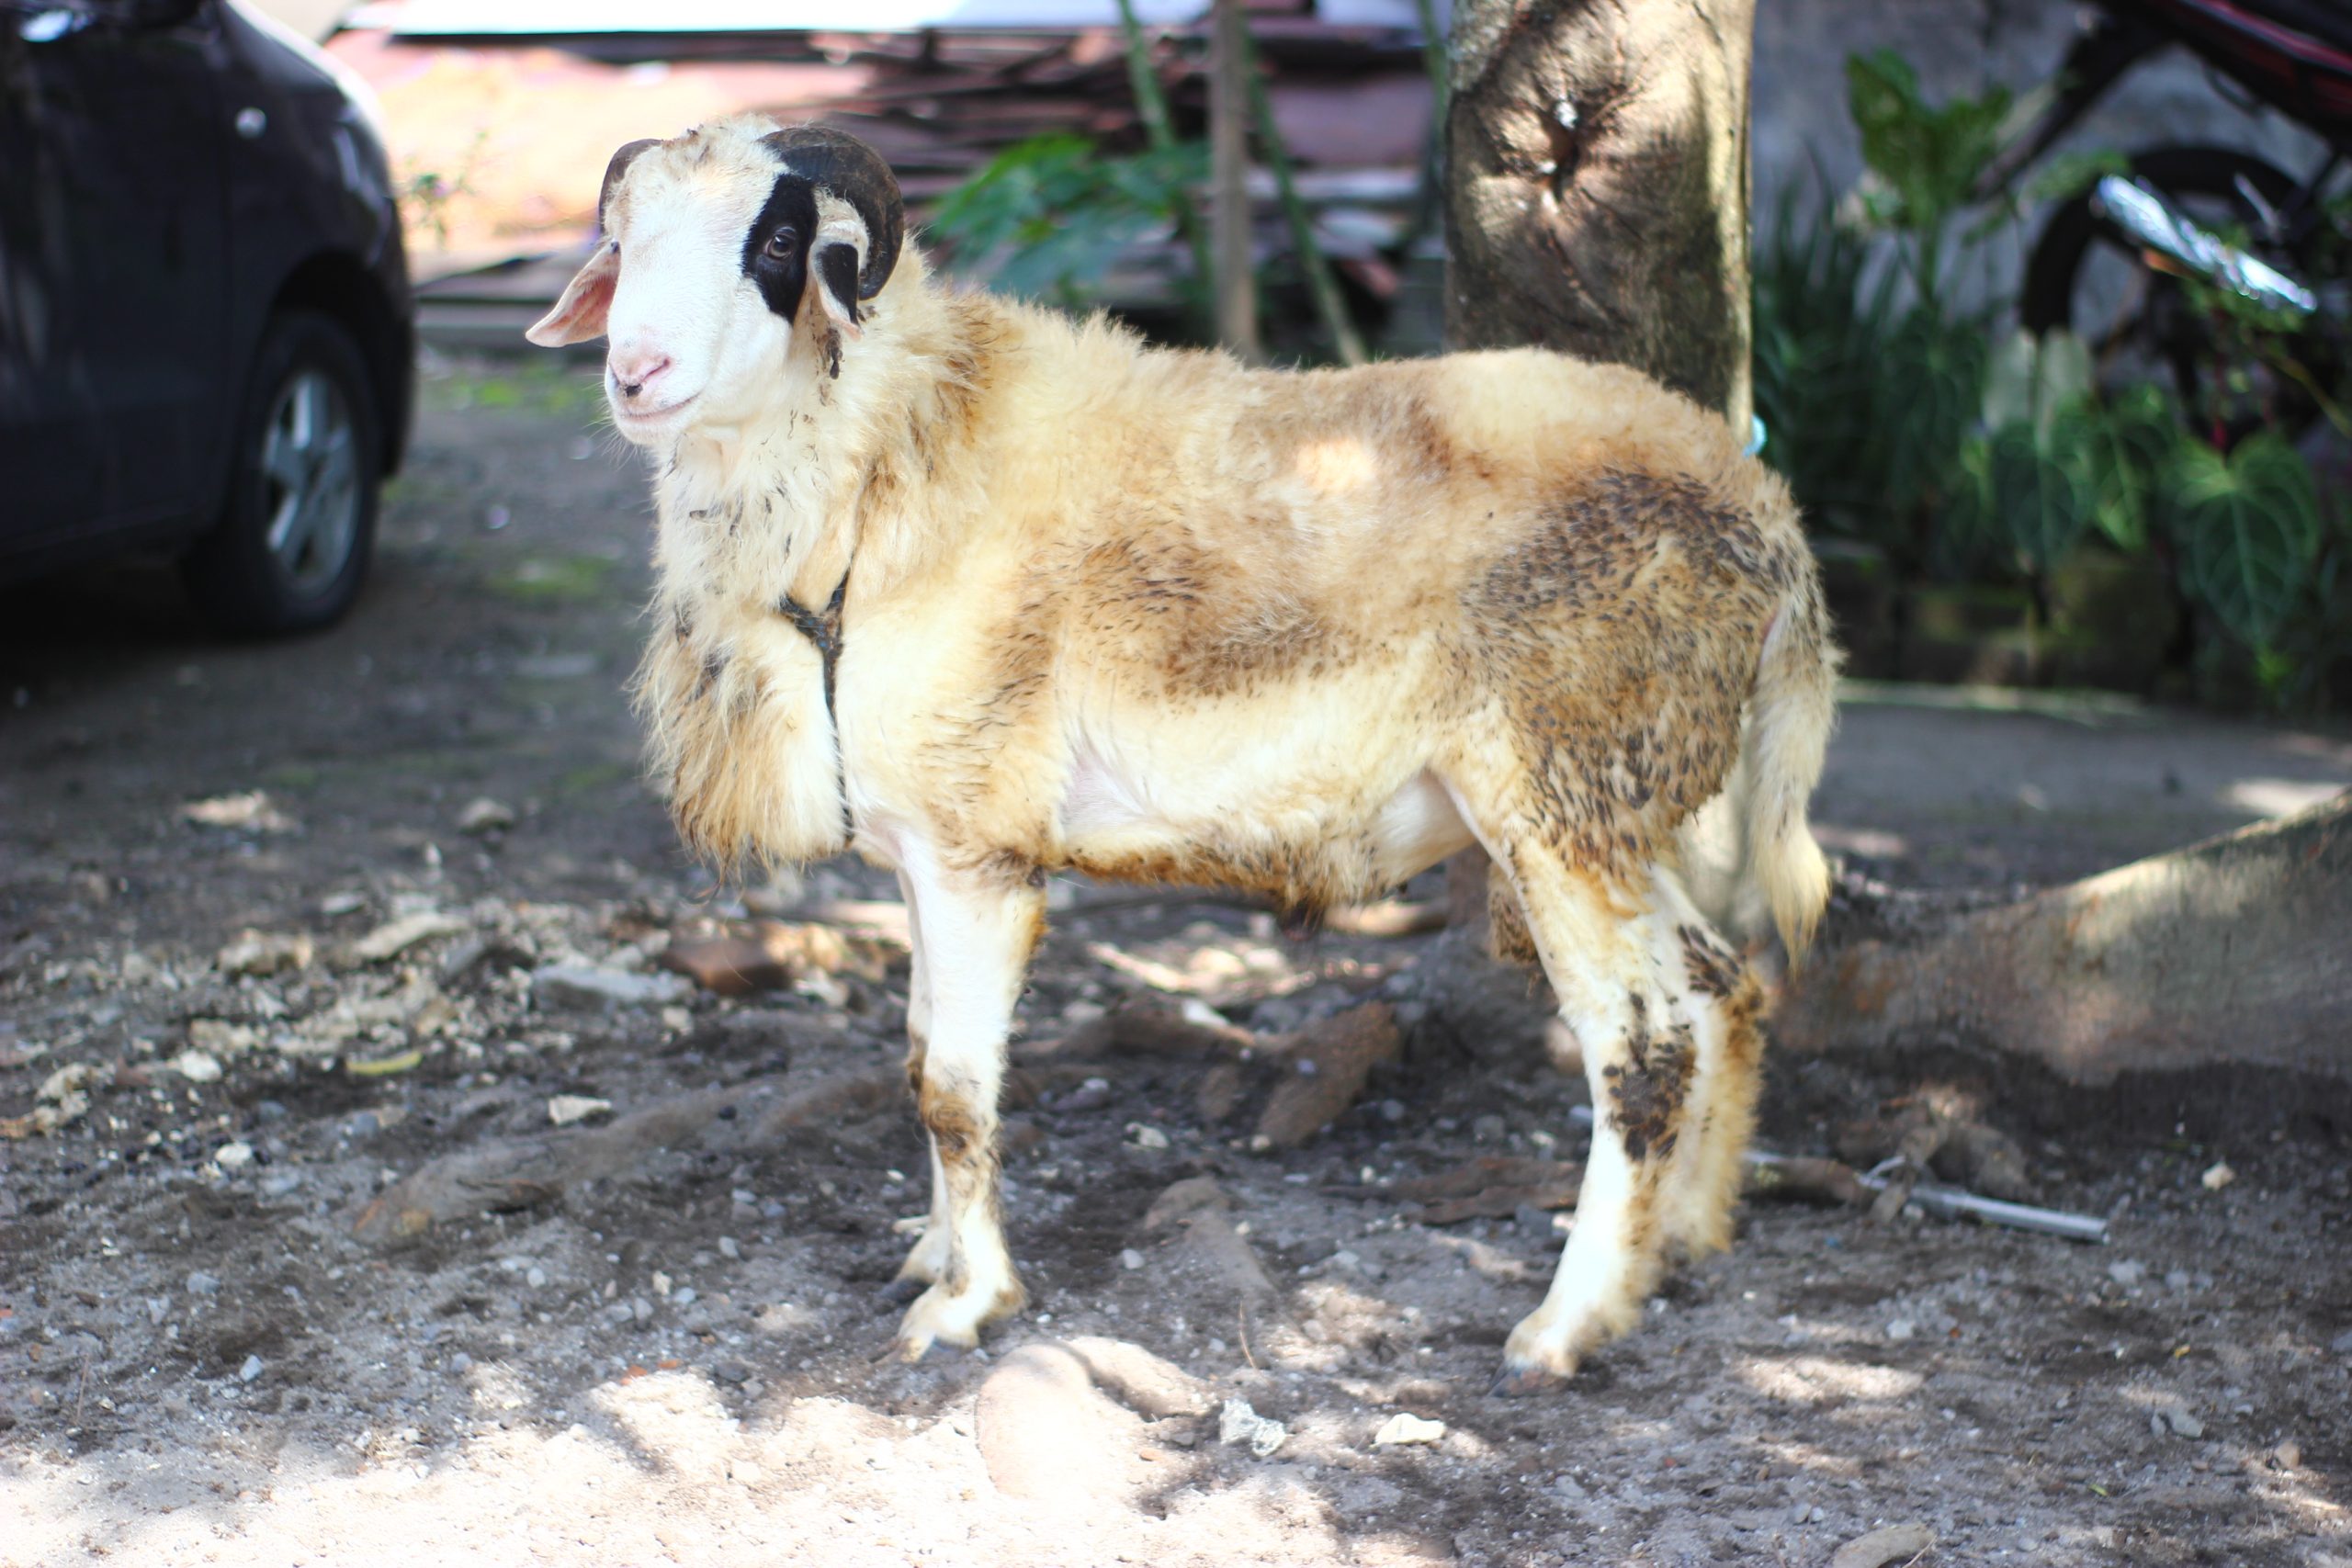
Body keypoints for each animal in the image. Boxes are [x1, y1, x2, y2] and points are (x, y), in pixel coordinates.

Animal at [526, 116, 1838, 1393]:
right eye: (622, 239)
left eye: (780, 239)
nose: (634, 375)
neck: (890, 461)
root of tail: (1768, 515)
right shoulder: (916, 847)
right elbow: (913, 1058)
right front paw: (929, 1258)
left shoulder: (977, 850)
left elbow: (953, 1088)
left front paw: (966, 1307)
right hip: (1621, 800)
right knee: (1724, 985)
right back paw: (1682, 1241)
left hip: (1558, 784)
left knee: (1642, 1049)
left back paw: (1562, 1330)